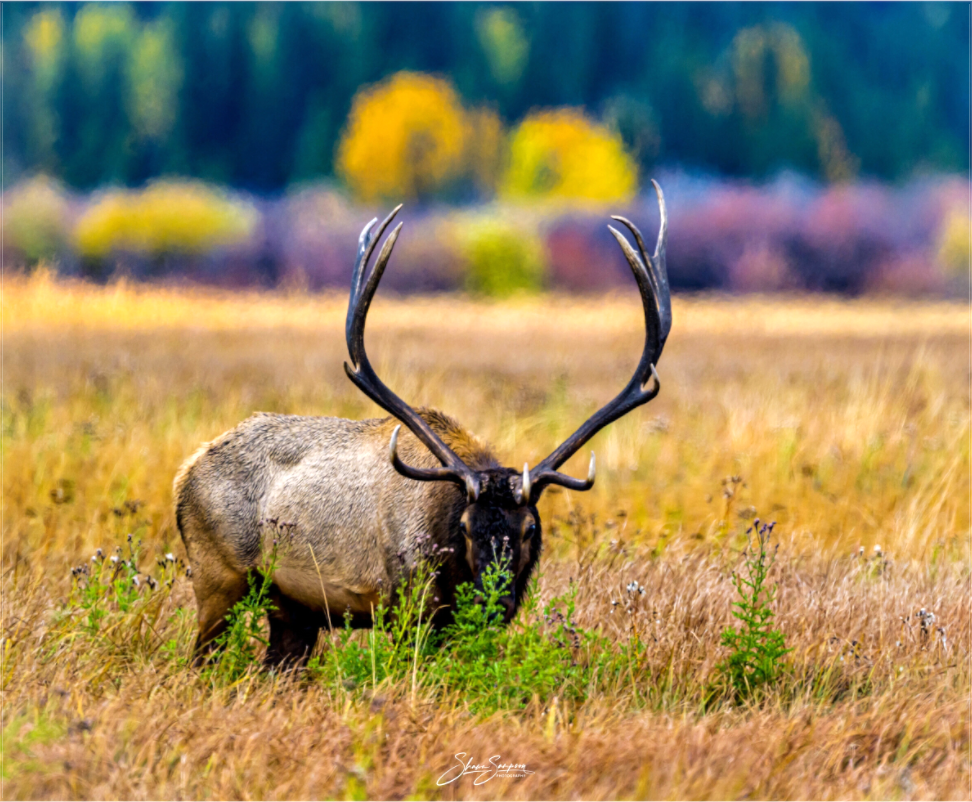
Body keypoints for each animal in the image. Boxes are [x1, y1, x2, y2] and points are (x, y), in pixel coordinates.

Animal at [174, 181, 671, 667]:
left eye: (529, 528)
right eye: (466, 527)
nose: (495, 602)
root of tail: (184, 474)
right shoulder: (406, 607)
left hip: (291, 607)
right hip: (218, 576)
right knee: (200, 657)